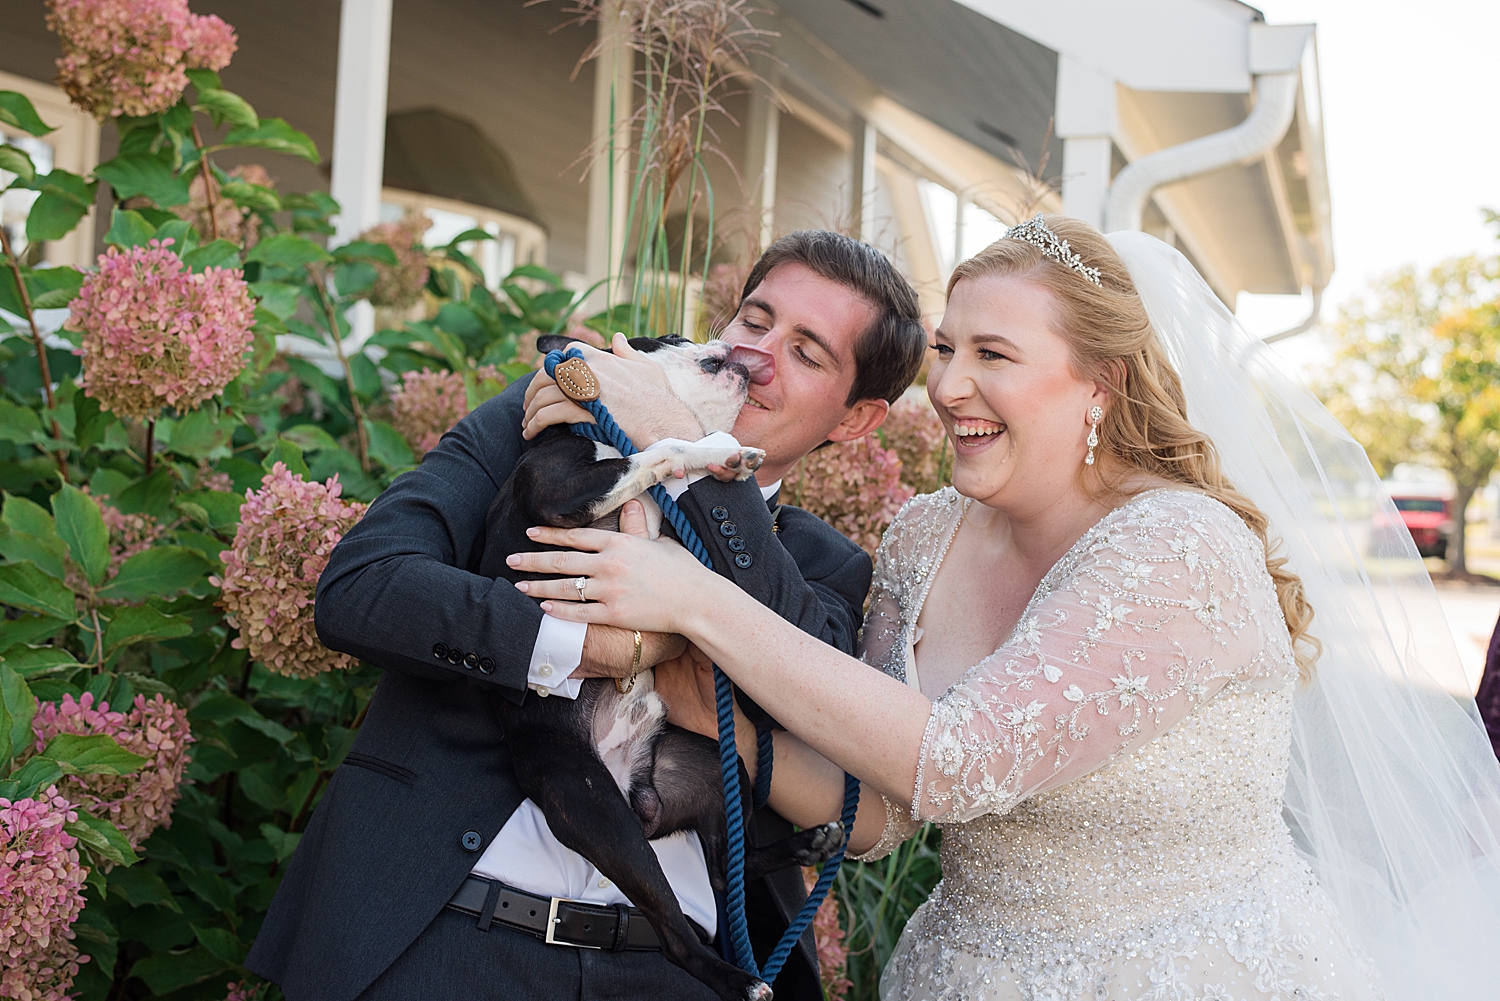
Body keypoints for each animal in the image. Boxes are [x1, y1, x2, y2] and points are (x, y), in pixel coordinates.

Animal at [477, 339, 846, 1001]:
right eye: (670, 341)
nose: (729, 347)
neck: (597, 431)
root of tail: (628, 784)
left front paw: (723, 457)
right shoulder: (562, 492)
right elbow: (663, 447)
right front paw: (710, 452)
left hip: (709, 770)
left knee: (730, 870)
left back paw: (810, 844)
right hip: (595, 810)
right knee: (677, 931)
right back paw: (740, 982)